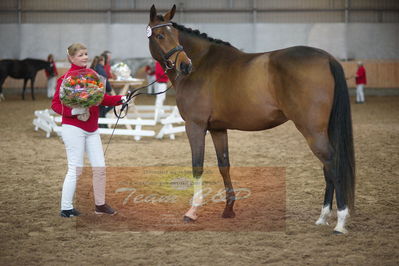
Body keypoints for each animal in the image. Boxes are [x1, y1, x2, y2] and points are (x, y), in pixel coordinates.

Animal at [147, 3, 356, 233]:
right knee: (327, 167)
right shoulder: (217, 128)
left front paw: (192, 212)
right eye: (159, 35)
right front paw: (228, 209)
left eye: (174, 34)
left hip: (312, 131)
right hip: (322, 131)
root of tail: (327, 58)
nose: (185, 65)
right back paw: (323, 216)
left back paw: (340, 221)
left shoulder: (195, 126)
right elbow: (224, 165)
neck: (202, 64)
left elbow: (197, 166)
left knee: (332, 163)